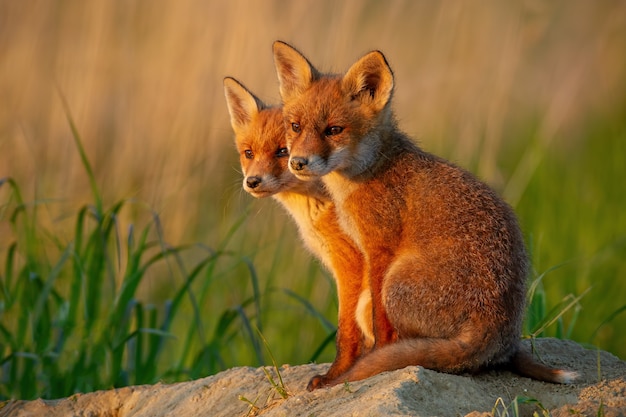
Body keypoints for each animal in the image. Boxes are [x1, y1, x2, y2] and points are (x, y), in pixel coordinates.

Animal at [272, 40, 576, 388]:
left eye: (334, 130)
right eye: (295, 126)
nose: (298, 162)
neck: (369, 172)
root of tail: (499, 330)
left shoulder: (379, 249)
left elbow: (379, 325)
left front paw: (362, 364)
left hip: (395, 283)